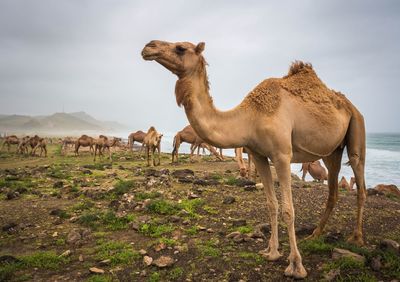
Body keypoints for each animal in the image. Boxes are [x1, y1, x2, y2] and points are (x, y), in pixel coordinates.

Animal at [142, 40, 368, 280]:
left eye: (180, 48)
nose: (149, 47)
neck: (249, 118)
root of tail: (349, 104)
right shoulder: (259, 155)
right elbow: (271, 204)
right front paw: (271, 252)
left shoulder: (282, 154)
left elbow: (288, 209)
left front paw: (296, 265)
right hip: (331, 151)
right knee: (333, 189)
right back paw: (315, 234)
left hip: (357, 125)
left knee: (359, 179)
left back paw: (357, 238)